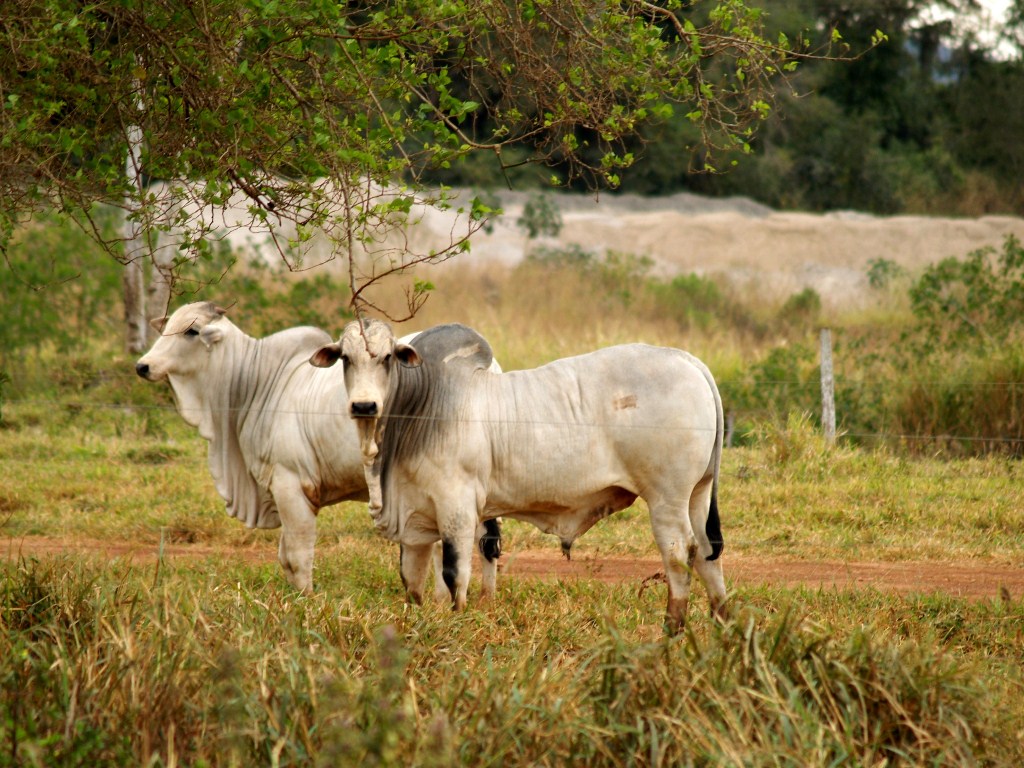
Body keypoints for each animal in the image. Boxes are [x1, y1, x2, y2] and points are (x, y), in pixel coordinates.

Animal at [311, 319, 729, 638]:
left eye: (386, 358)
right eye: (346, 358)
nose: (364, 406)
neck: (421, 405)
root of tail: (687, 360)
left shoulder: (457, 506)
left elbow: (454, 574)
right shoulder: (416, 520)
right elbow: (412, 583)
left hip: (666, 498)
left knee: (680, 555)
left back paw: (672, 630)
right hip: (698, 493)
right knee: (709, 556)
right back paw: (721, 627)